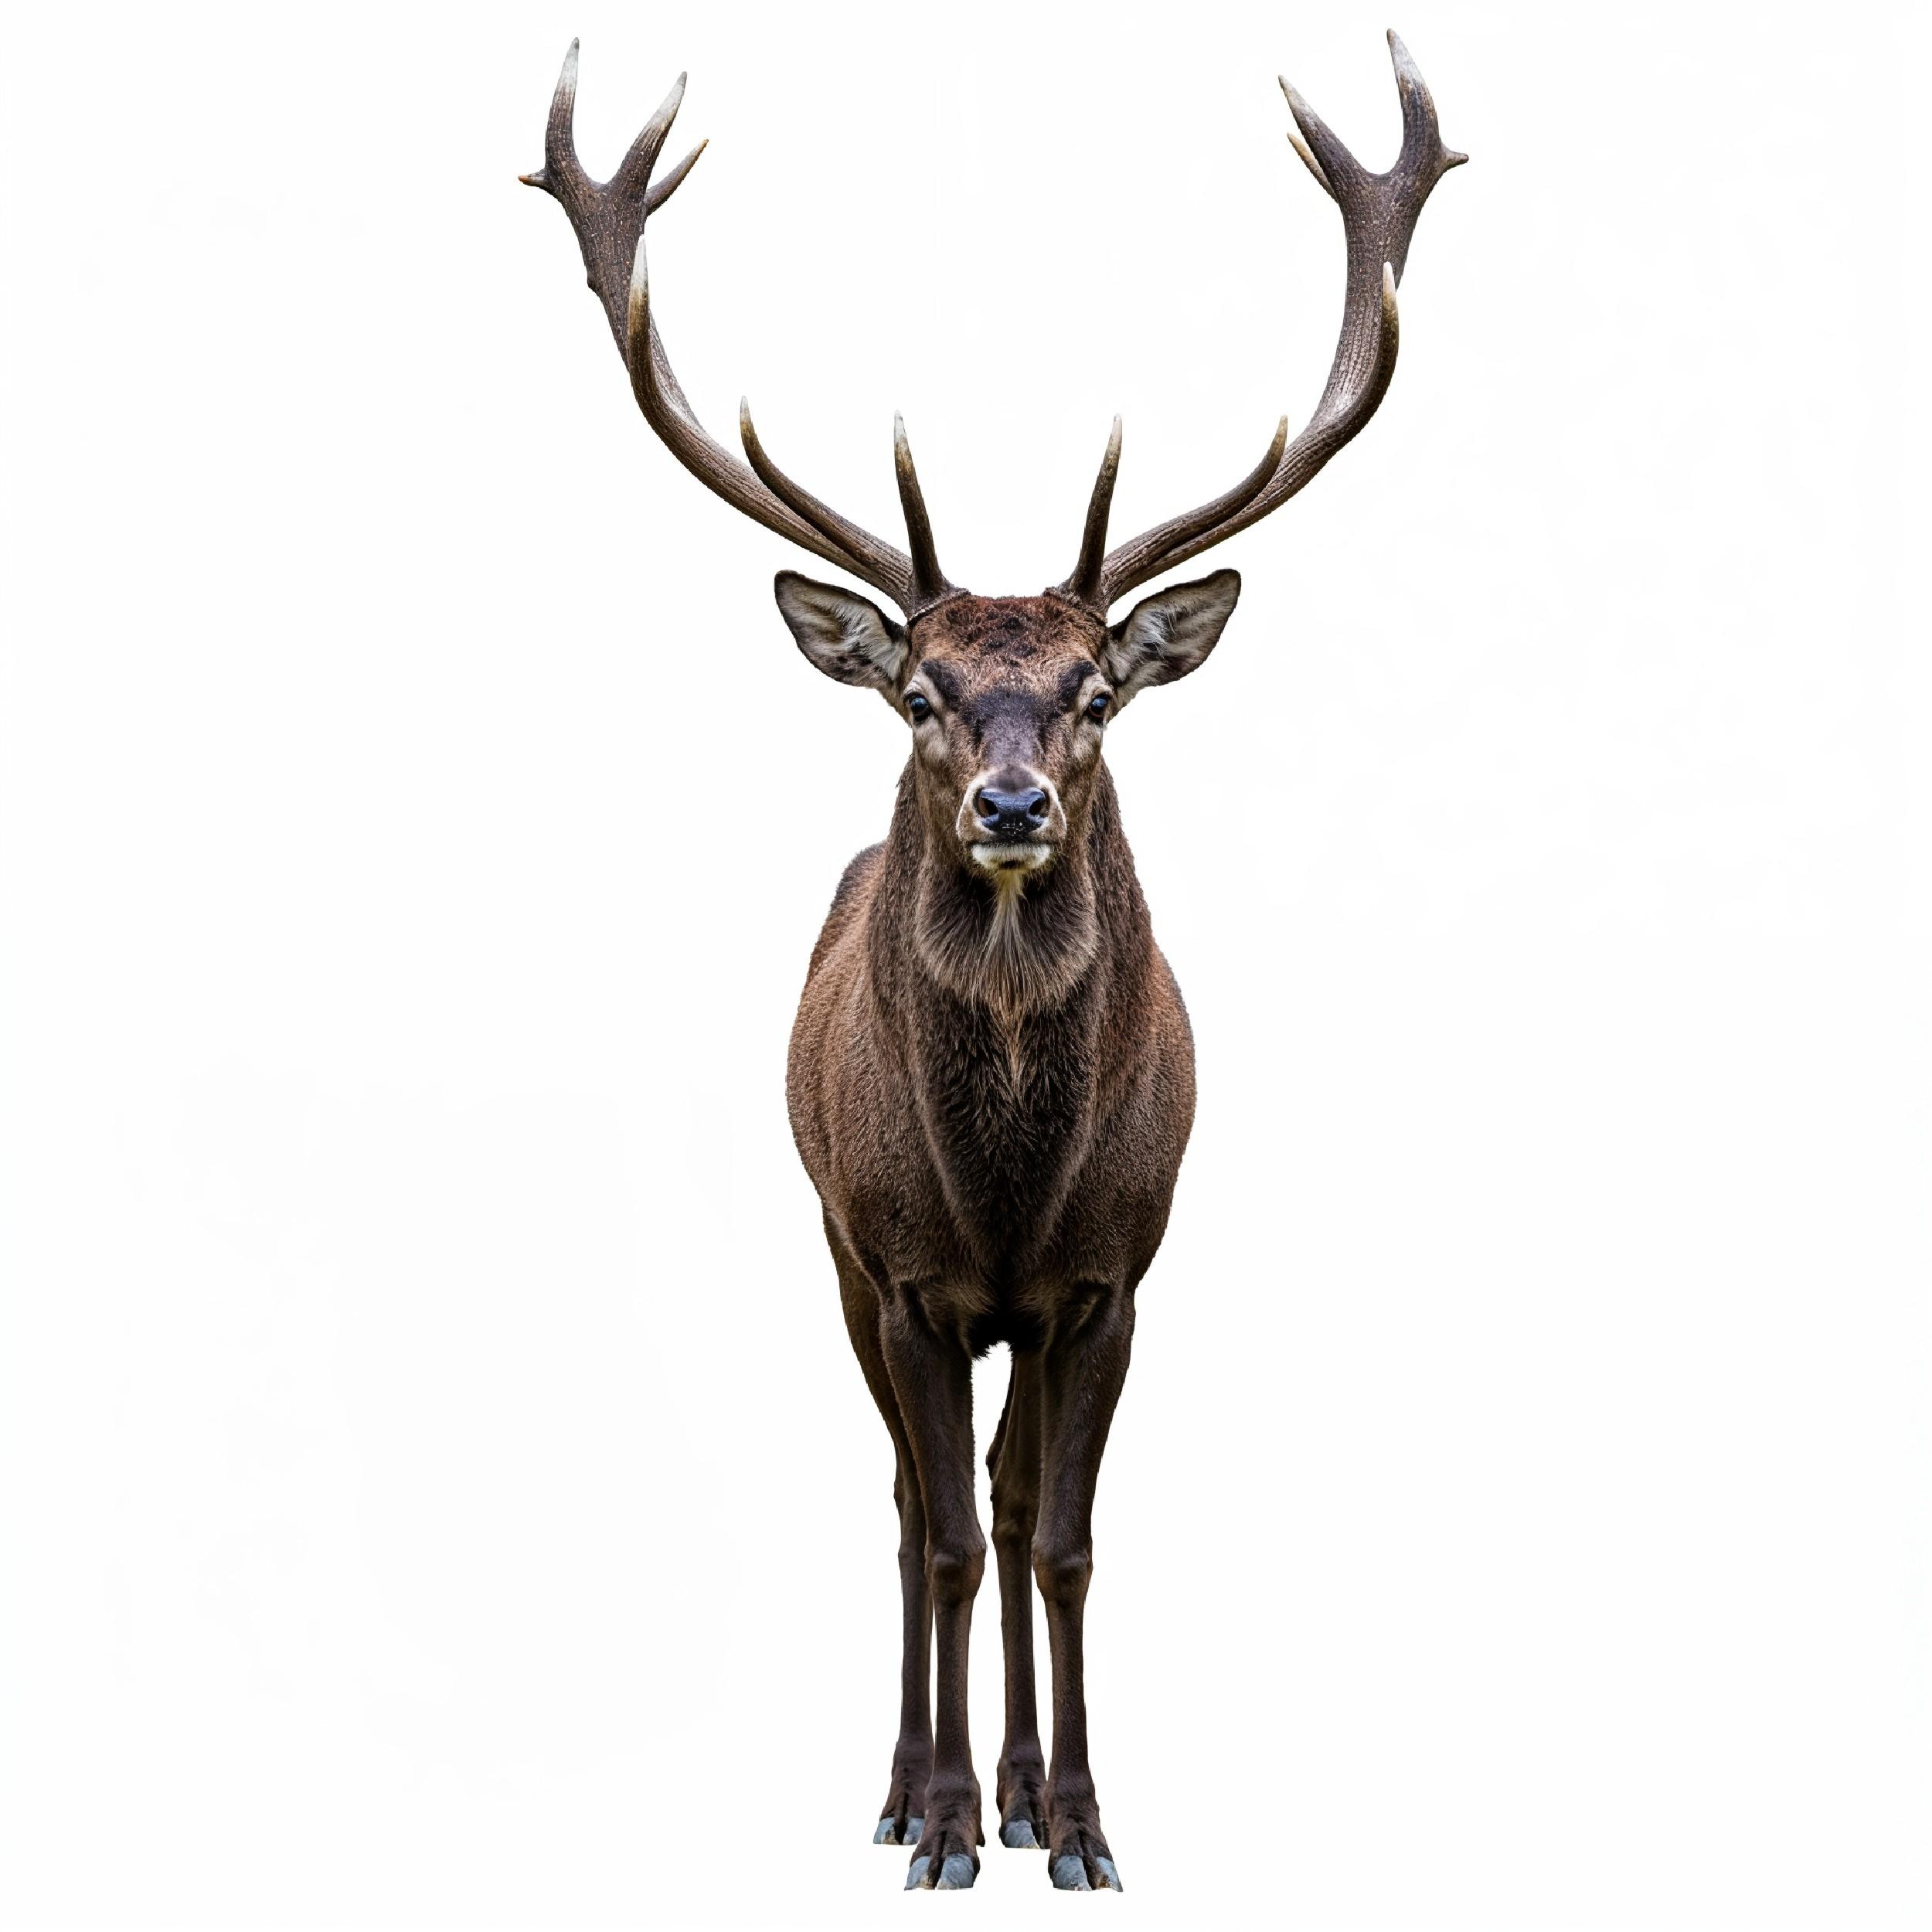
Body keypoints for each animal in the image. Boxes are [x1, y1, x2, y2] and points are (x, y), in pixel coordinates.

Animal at [521, 30, 1462, 1893]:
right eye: (917, 692)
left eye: (1098, 691)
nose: (1013, 802)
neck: (1009, 1190)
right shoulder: (901, 1271)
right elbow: (949, 1538)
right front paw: (945, 1823)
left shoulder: (1109, 1273)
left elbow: (1062, 1537)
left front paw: (1080, 1820)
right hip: (833, 1246)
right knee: (910, 1509)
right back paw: (916, 1786)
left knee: (1018, 1502)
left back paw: (1026, 1786)